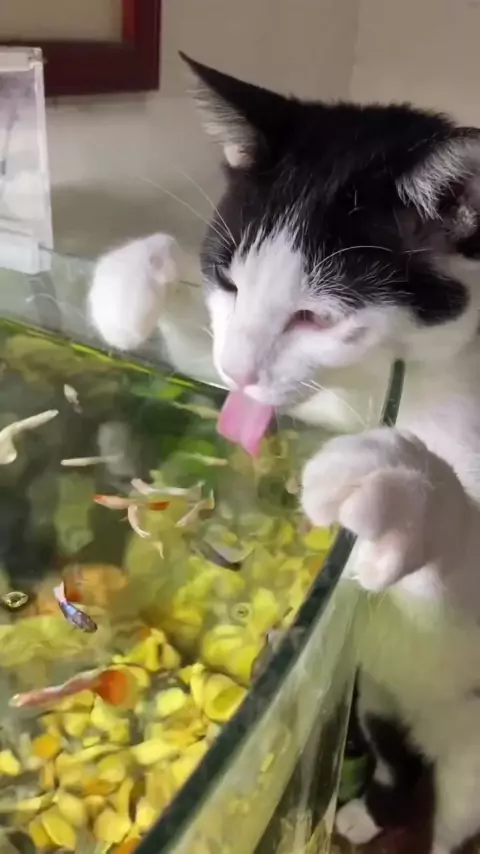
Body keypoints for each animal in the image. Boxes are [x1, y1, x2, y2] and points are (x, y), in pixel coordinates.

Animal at [88, 54, 480, 854]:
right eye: (229, 280)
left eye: (315, 316)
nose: (238, 367)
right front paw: (133, 279)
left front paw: (402, 481)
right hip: (378, 693)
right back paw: (366, 809)